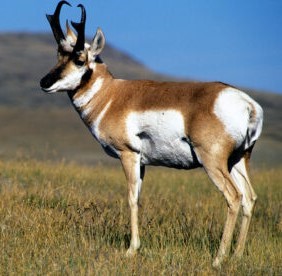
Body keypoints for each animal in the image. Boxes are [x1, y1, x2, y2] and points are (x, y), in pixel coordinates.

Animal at [40, 0, 264, 268]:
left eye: (80, 59)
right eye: (59, 55)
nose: (44, 82)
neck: (111, 96)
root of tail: (247, 103)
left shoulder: (129, 155)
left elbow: (130, 198)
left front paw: (130, 250)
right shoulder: (143, 163)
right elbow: (138, 197)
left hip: (213, 162)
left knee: (234, 196)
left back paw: (218, 259)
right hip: (238, 160)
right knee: (249, 197)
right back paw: (237, 255)